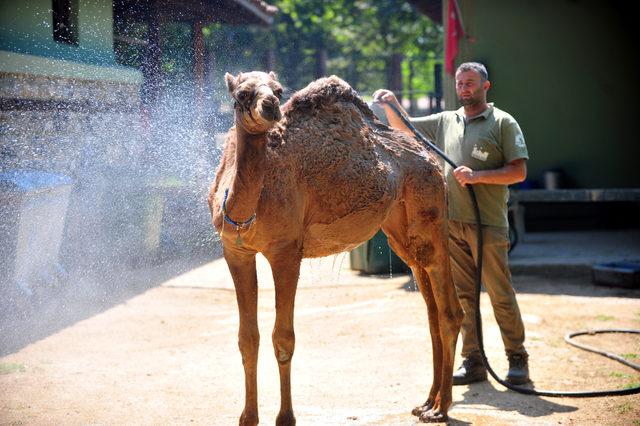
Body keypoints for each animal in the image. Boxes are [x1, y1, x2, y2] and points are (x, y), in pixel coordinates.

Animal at [208, 70, 462, 422]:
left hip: (431, 213)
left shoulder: (287, 251)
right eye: (242, 94)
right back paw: (426, 401)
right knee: (431, 309)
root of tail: (435, 162)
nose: (270, 106)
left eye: (278, 90)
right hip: (402, 232)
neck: (244, 210)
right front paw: (248, 418)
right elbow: (248, 339)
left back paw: (440, 408)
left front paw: (285, 418)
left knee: (450, 310)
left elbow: (283, 338)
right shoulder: (236, 251)